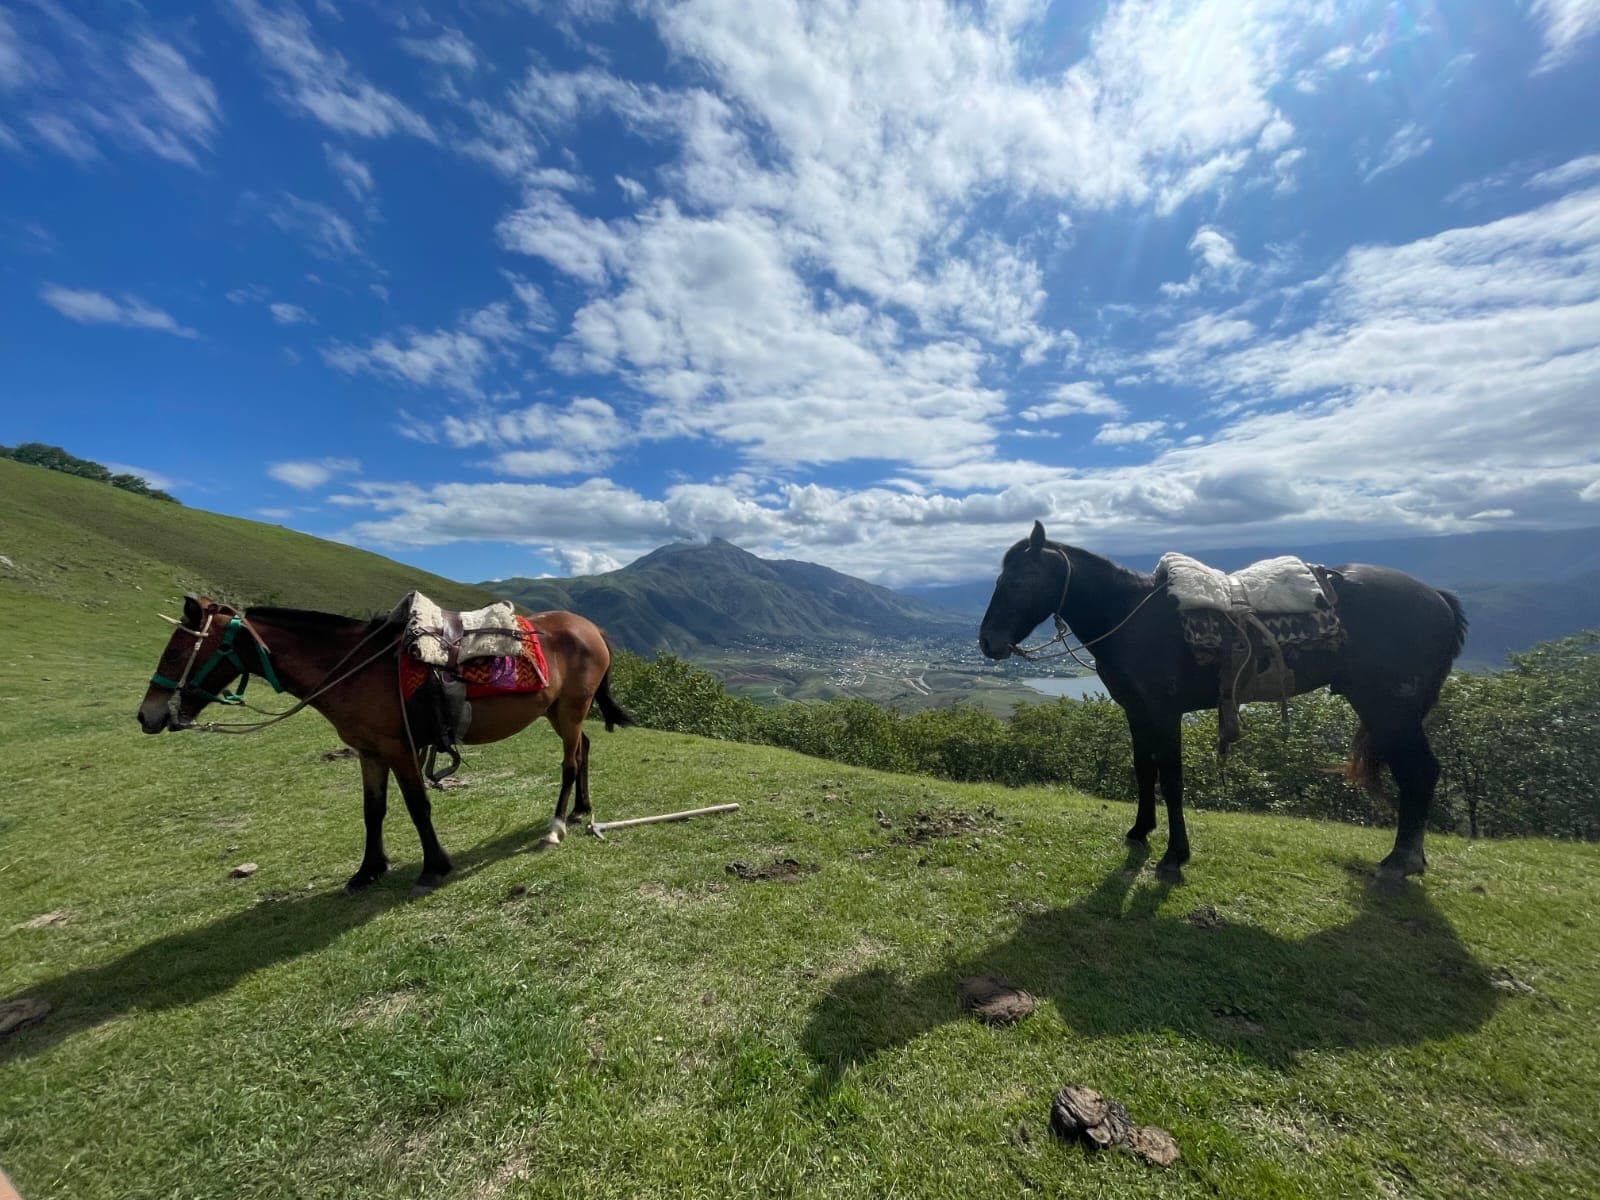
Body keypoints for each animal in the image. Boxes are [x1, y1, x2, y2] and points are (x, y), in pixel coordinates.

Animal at [136, 594, 633, 894]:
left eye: (177, 652)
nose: (148, 715)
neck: (351, 666)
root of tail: (592, 629)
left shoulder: (398, 748)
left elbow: (417, 806)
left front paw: (434, 866)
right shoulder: (370, 751)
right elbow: (372, 810)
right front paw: (368, 870)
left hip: (570, 709)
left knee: (569, 762)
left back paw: (556, 825)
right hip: (561, 711)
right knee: (584, 749)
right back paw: (582, 810)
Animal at [978, 522, 1467, 885]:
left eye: (1017, 581)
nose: (988, 643)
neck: (1131, 618)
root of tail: (1438, 598)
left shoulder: (1164, 713)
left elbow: (1172, 779)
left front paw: (1175, 856)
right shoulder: (1137, 712)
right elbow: (1144, 770)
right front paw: (1140, 831)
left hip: (1390, 709)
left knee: (1421, 773)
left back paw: (1400, 861)